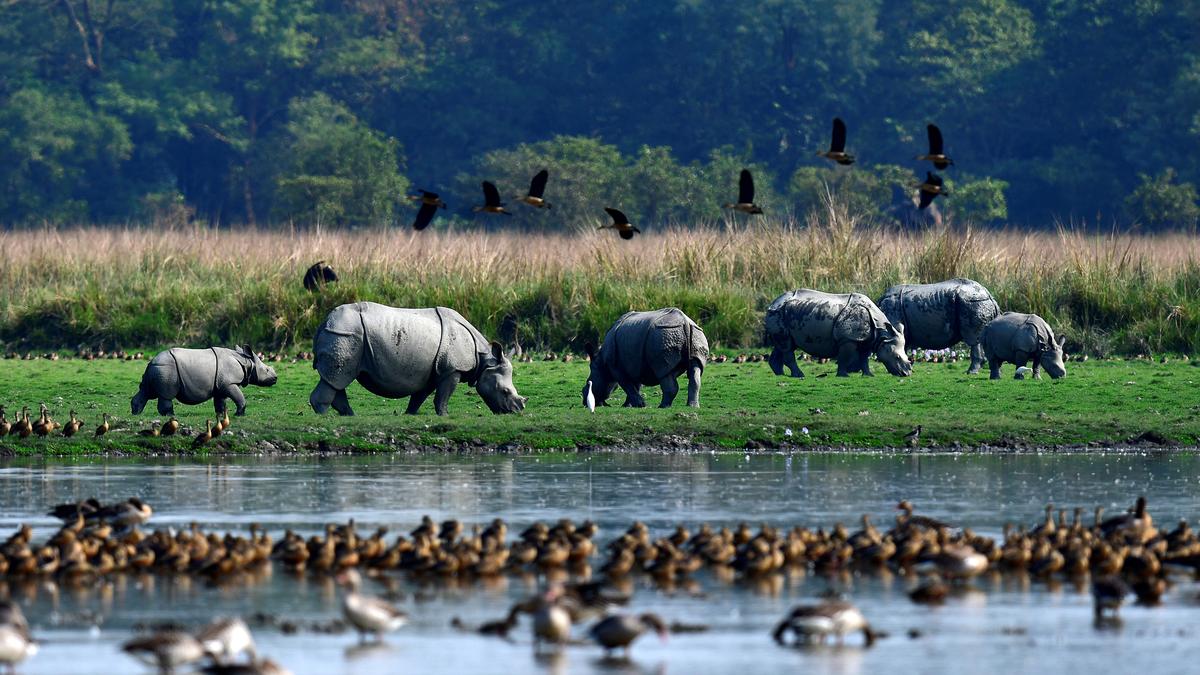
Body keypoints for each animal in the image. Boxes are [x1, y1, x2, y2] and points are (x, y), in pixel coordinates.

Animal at [131, 346, 278, 416]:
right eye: (267, 370)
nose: (275, 378)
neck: (246, 361)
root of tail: (151, 362)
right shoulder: (229, 383)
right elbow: (239, 397)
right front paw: (239, 414)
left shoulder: (221, 384)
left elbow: (220, 401)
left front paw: (220, 415)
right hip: (167, 369)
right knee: (166, 395)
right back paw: (170, 415)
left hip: (157, 369)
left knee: (146, 391)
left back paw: (136, 412)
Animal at [309, 302, 526, 416]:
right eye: (505, 391)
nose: (517, 410)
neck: (484, 360)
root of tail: (324, 323)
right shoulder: (452, 369)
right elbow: (443, 396)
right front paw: (445, 416)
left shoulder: (431, 371)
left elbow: (419, 397)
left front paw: (410, 415)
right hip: (344, 335)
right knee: (337, 378)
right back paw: (325, 417)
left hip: (344, 335)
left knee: (336, 380)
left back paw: (350, 416)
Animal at [765, 290, 912, 377]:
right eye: (897, 357)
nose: (907, 373)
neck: (882, 333)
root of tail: (773, 303)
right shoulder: (847, 338)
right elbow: (844, 357)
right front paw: (843, 375)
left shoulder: (868, 339)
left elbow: (864, 358)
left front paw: (868, 375)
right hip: (778, 312)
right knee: (787, 346)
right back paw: (799, 375)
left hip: (784, 313)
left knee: (782, 345)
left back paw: (780, 375)